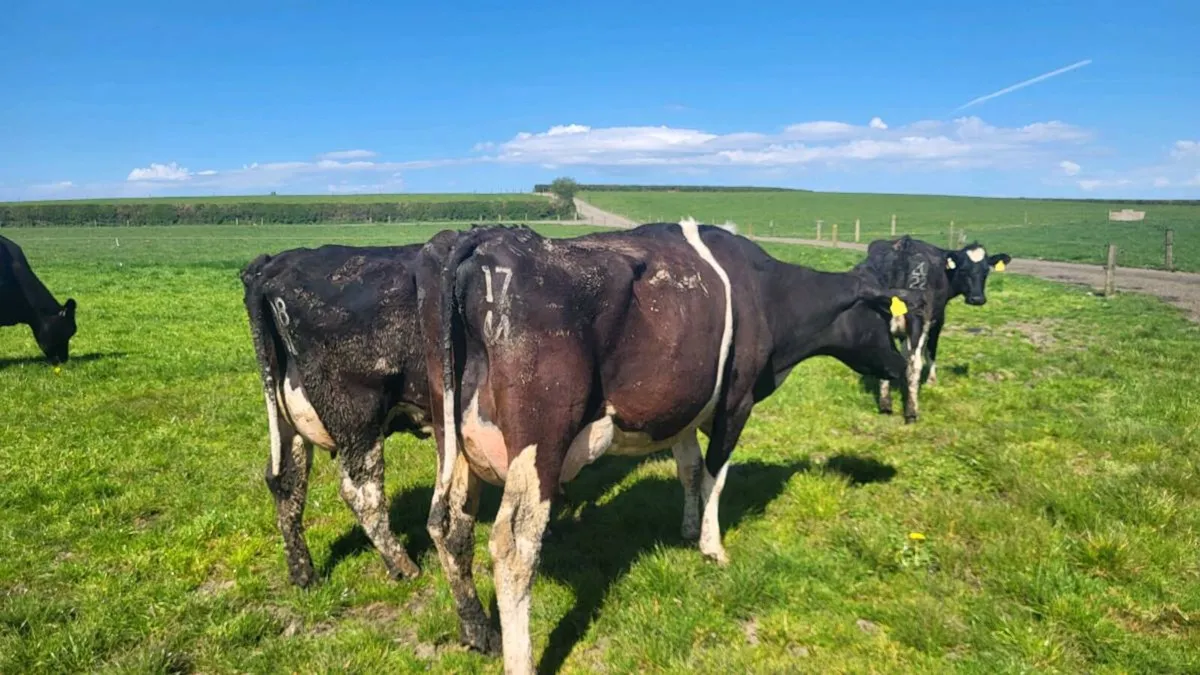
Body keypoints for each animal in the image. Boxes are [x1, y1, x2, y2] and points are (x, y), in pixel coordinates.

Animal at [240, 243, 435, 588]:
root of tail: (273, 264)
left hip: (289, 416)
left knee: (286, 481)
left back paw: (304, 574)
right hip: (357, 418)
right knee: (361, 492)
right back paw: (404, 566)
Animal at [415, 220, 912, 674]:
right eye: (889, 322)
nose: (900, 370)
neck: (766, 294)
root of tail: (485, 236)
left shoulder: (682, 409)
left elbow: (689, 469)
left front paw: (689, 529)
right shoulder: (737, 401)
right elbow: (715, 476)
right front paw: (712, 546)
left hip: (453, 438)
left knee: (449, 527)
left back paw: (478, 631)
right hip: (540, 441)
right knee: (514, 545)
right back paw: (520, 660)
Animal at [853, 235, 1011, 423]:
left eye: (986, 271)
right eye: (963, 270)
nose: (977, 299)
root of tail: (903, 245)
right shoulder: (937, 320)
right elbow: (930, 351)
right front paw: (931, 381)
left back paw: (885, 406)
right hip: (919, 320)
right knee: (916, 364)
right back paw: (912, 412)